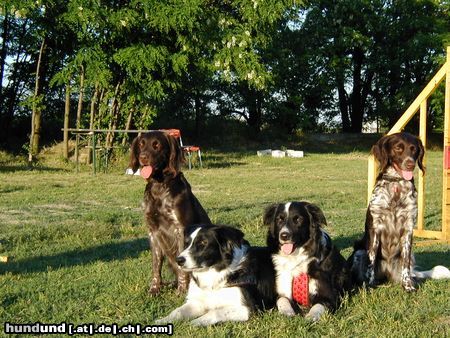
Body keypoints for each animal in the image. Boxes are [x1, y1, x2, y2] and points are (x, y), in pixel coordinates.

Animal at [127, 131, 210, 294]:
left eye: (157, 145)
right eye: (141, 144)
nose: (143, 158)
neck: (159, 186)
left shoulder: (180, 230)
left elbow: (182, 266)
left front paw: (182, 290)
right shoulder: (153, 231)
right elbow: (156, 264)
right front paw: (154, 289)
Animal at [350, 132, 448, 290]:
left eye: (414, 149)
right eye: (398, 148)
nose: (410, 164)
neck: (396, 185)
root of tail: (387, 272)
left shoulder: (408, 229)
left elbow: (405, 264)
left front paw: (408, 285)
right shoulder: (375, 228)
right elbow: (371, 261)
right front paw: (369, 284)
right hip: (359, 252)